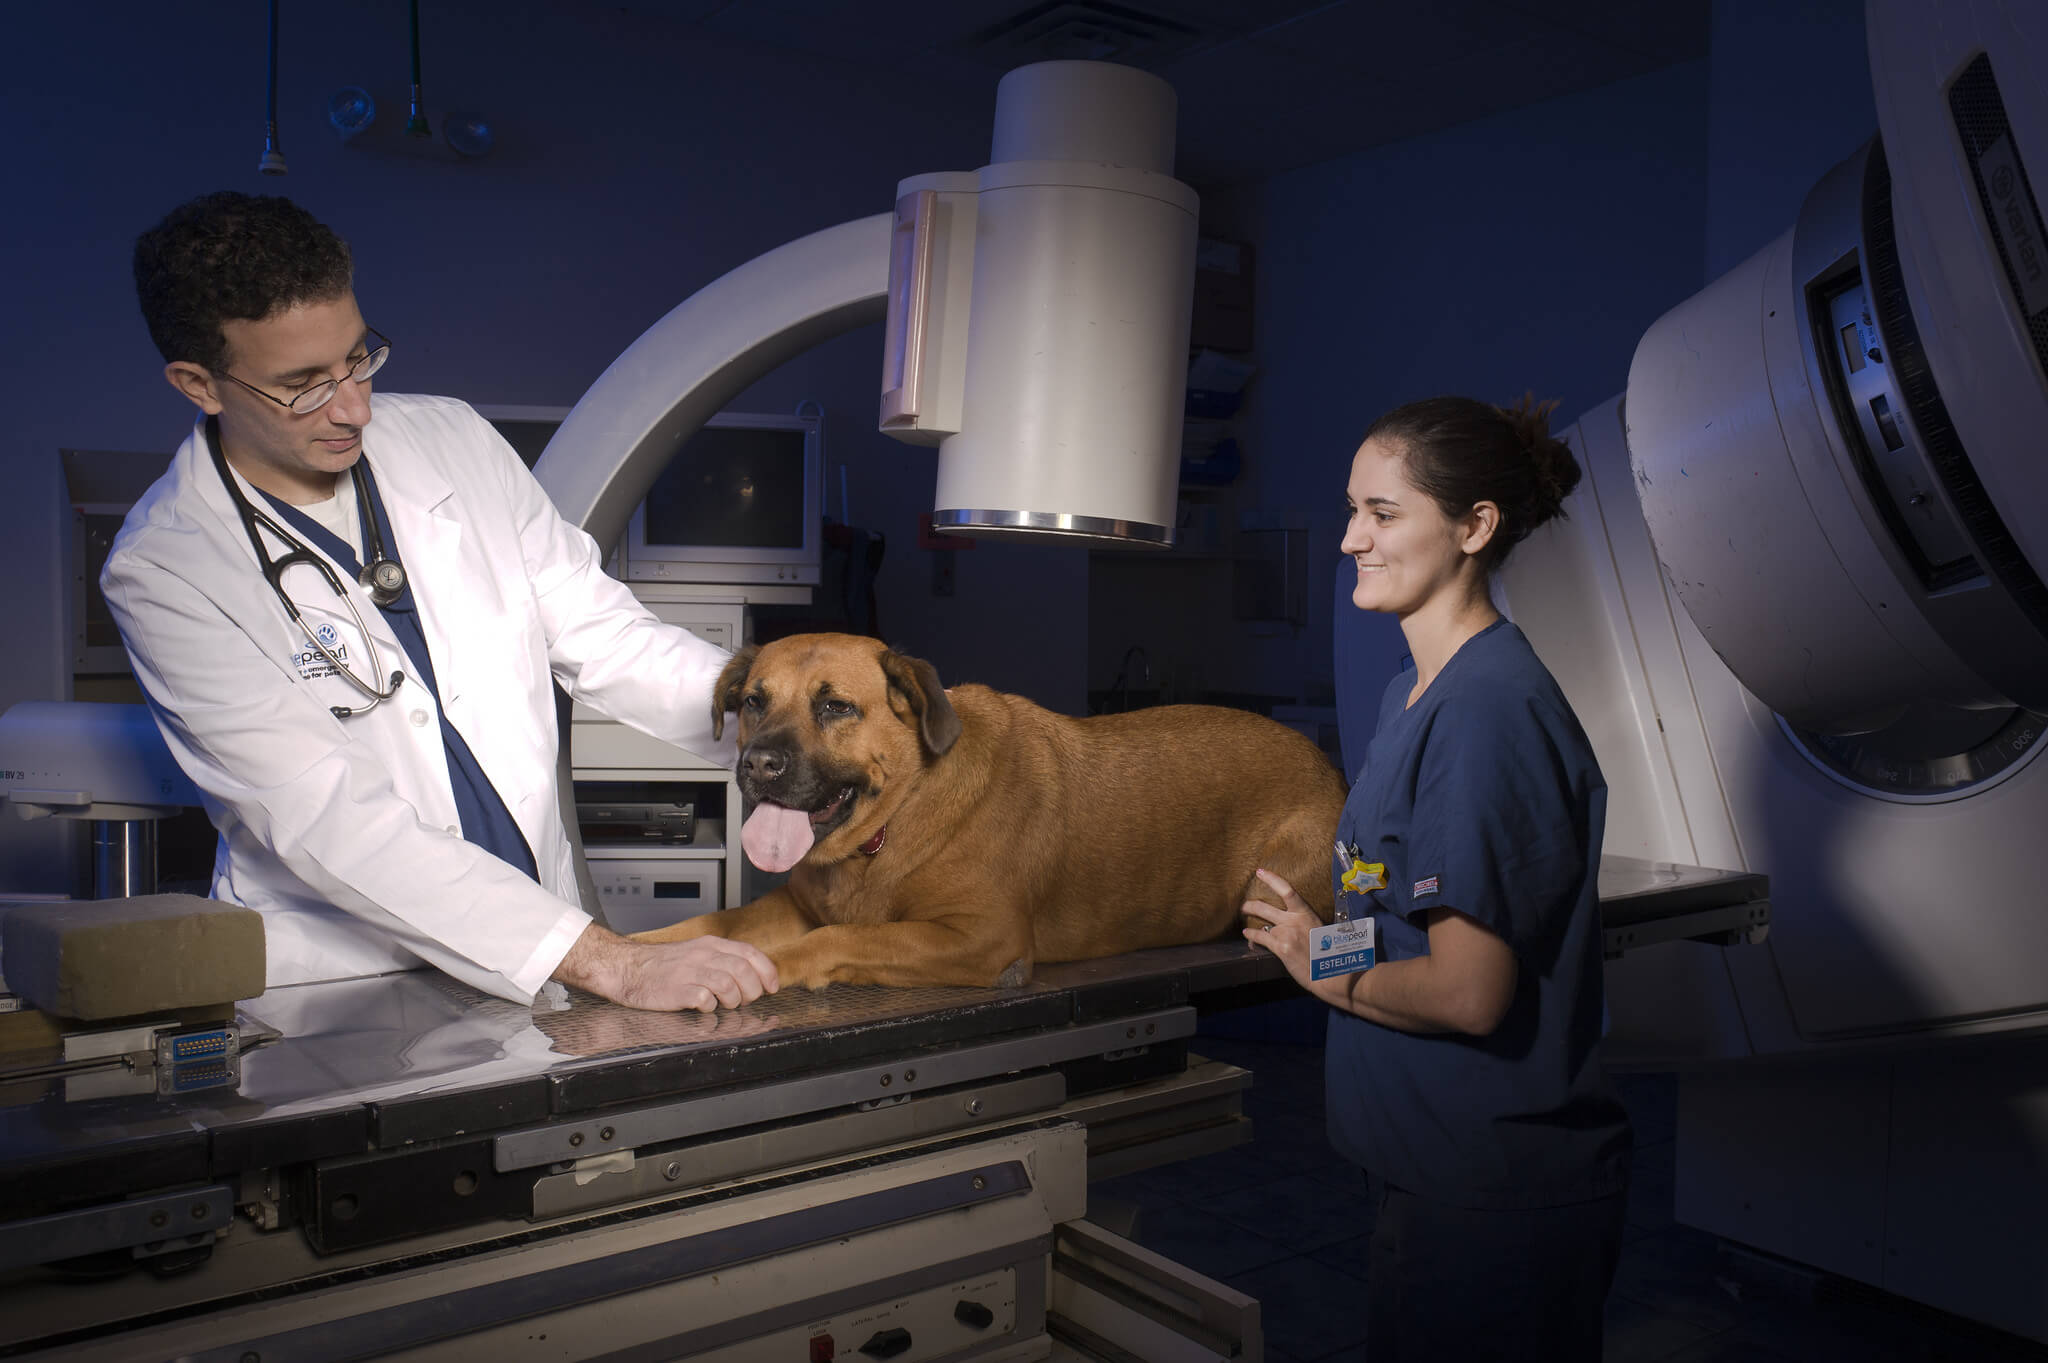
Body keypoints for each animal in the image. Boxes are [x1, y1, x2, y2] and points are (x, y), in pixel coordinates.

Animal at [630, 630, 1351, 982]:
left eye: (835, 706)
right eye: (754, 701)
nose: (757, 766)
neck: (895, 821)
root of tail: (1329, 767)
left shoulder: (983, 939)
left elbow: (837, 937)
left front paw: (760, 968)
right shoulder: (791, 907)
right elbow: (711, 923)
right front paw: (646, 950)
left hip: (1269, 890)